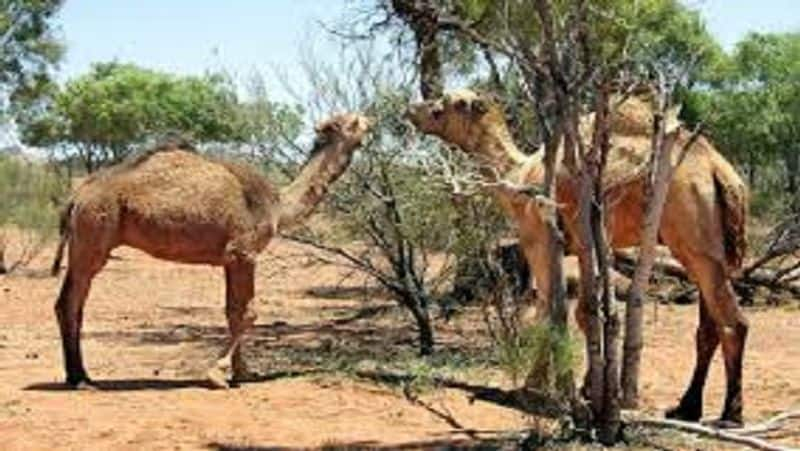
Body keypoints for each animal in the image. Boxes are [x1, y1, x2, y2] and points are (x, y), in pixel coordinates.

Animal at [53, 112, 372, 388]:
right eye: (354, 122)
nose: (371, 121)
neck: (278, 206)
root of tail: (77, 195)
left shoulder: (230, 260)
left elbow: (233, 311)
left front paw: (243, 372)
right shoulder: (243, 252)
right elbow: (249, 313)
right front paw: (216, 374)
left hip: (85, 239)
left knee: (73, 302)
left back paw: (79, 375)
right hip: (93, 234)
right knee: (69, 301)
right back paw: (80, 379)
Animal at [406, 89, 752, 428]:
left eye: (444, 105)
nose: (411, 109)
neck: (520, 176)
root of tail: (721, 173)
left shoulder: (541, 239)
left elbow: (553, 310)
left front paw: (535, 386)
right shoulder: (582, 245)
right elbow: (584, 313)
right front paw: (587, 390)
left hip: (691, 233)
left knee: (733, 322)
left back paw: (730, 414)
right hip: (707, 245)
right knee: (708, 326)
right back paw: (686, 409)